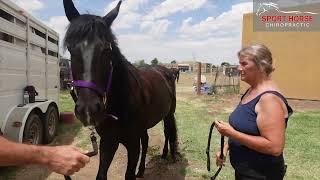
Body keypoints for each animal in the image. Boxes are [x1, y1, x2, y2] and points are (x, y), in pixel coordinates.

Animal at [62, 0, 178, 179]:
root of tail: (166, 70)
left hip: (168, 114)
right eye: (70, 48)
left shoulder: (132, 144)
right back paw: (142, 170)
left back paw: (168, 155)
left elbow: (128, 174)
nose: (88, 110)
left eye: (107, 50)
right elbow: (101, 174)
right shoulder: (108, 142)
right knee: (146, 140)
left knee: (168, 132)